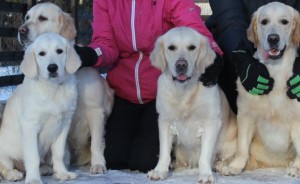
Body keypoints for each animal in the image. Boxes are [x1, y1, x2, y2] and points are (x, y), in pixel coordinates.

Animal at [0, 32, 81, 184]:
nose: (52, 68)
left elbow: (58, 153)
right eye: (41, 53)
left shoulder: (64, 124)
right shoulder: (30, 125)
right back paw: (13, 174)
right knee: (5, 166)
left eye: (59, 51)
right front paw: (33, 179)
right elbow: (33, 157)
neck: (53, 88)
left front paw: (62, 173)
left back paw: (45, 169)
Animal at [17, 1, 113, 174]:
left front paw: (98, 164)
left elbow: (96, 142)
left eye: (42, 18)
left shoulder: (95, 110)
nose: (21, 30)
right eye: (27, 17)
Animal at [147, 26, 237, 183]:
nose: (181, 65)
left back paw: (221, 166)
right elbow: (164, 152)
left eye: (192, 47)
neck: (184, 92)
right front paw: (159, 171)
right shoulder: (165, 121)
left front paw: (205, 174)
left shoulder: (211, 122)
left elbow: (205, 155)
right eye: (171, 47)